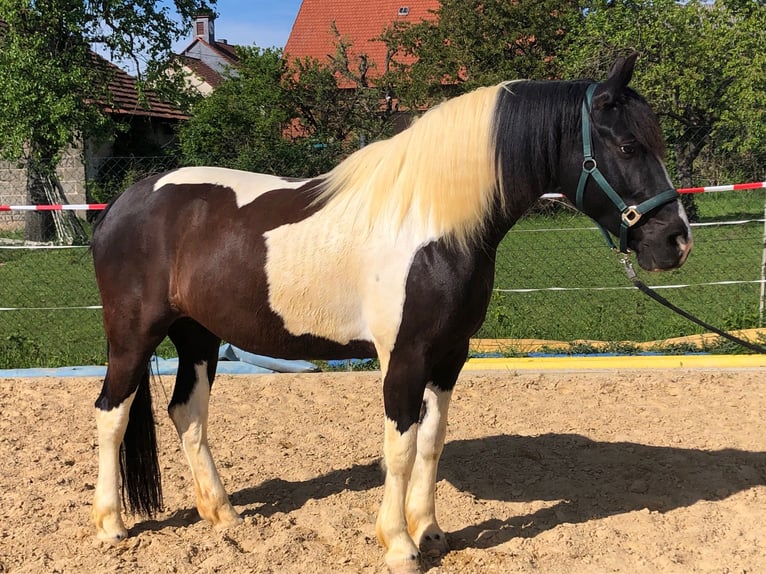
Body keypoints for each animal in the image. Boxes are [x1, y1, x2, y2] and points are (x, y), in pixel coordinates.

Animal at [90, 53, 691, 574]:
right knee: (112, 412)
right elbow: (399, 448)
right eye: (627, 145)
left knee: (187, 413)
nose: (677, 241)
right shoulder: (403, 357)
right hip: (134, 335)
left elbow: (431, 441)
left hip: (198, 337)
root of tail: (124, 203)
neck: (433, 223)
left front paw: (430, 531)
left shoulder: (450, 356)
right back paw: (111, 525)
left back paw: (223, 514)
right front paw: (400, 545)